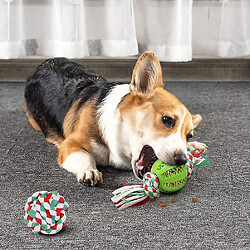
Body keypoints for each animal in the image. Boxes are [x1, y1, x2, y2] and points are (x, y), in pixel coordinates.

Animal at [23, 51, 207, 187]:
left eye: (189, 135)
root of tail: (46, 62)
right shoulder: (69, 145)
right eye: (167, 119)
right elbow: (85, 157)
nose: (182, 160)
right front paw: (89, 171)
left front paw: (191, 145)